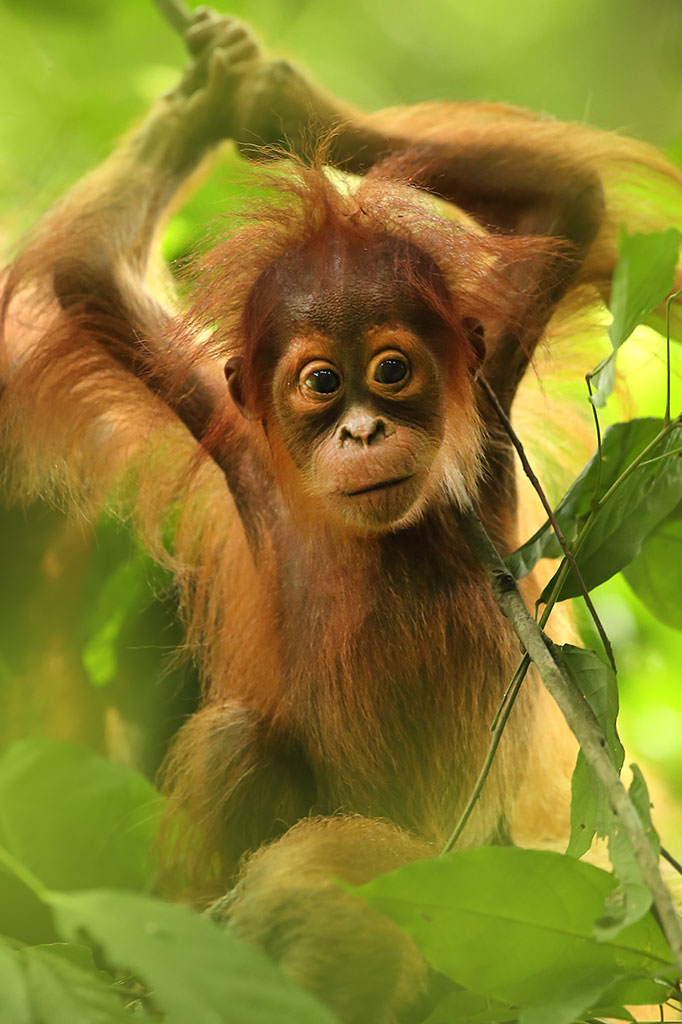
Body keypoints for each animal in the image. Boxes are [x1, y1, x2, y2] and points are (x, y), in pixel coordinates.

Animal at [2, 9, 682, 1022]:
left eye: (391, 369)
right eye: (322, 383)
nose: (362, 429)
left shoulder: (491, 390)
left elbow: (570, 204)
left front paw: (264, 91)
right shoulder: (234, 441)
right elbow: (85, 276)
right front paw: (200, 107)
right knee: (238, 745)